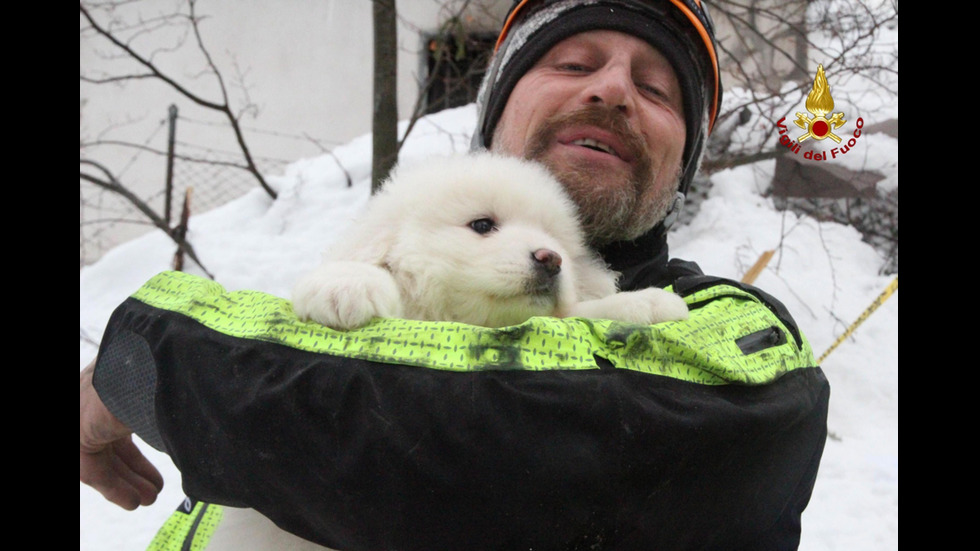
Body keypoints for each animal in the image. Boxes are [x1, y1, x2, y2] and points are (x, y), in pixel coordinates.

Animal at [292, 153, 688, 330]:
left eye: (556, 241)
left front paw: (648, 303)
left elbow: (580, 311)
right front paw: (345, 284)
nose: (551, 259)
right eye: (482, 225)